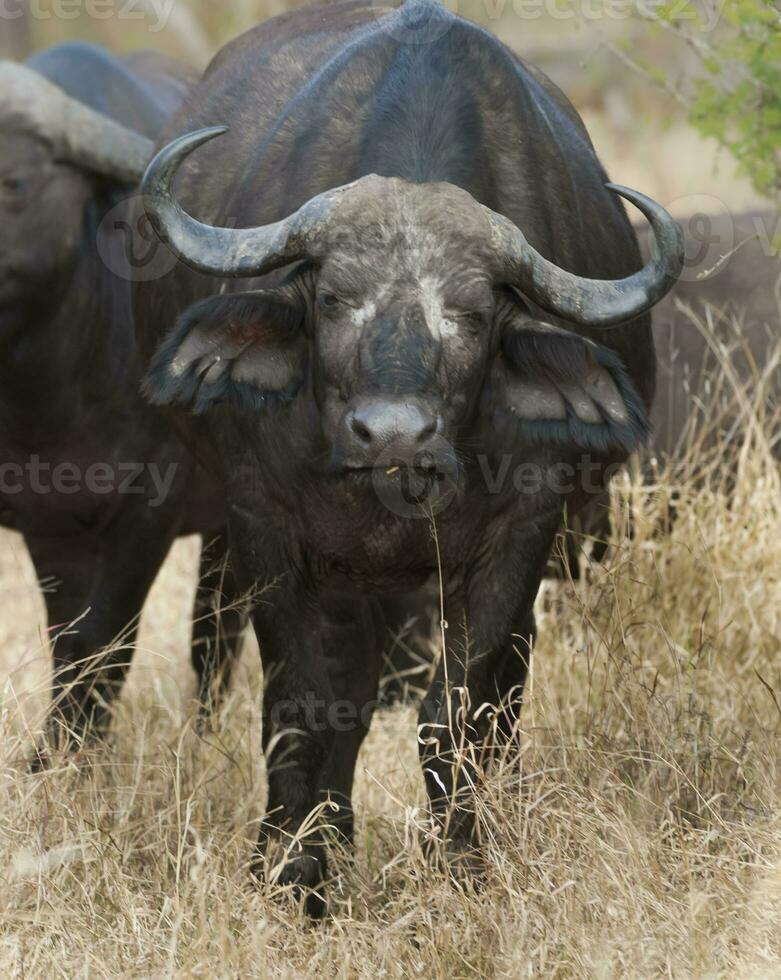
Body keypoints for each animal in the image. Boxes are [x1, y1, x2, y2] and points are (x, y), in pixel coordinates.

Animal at [0, 44, 247, 752]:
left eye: (15, 182)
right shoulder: (48, 523)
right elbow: (70, 645)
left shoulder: (147, 514)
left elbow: (107, 644)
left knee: (215, 631)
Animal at [134, 0, 684, 912]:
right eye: (331, 298)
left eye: (471, 314)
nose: (391, 433)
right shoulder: (265, 522)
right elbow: (304, 706)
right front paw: (293, 876)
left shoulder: (520, 531)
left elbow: (455, 714)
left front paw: (464, 868)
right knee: (344, 694)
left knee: (504, 695)